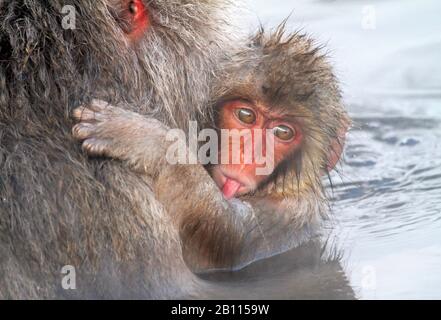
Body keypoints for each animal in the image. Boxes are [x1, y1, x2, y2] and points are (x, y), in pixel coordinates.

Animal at [72, 27, 348, 272]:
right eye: (246, 115)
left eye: (283, 132)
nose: (250, 155)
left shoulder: (291, 211)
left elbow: (225, 234)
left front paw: (150, 140)